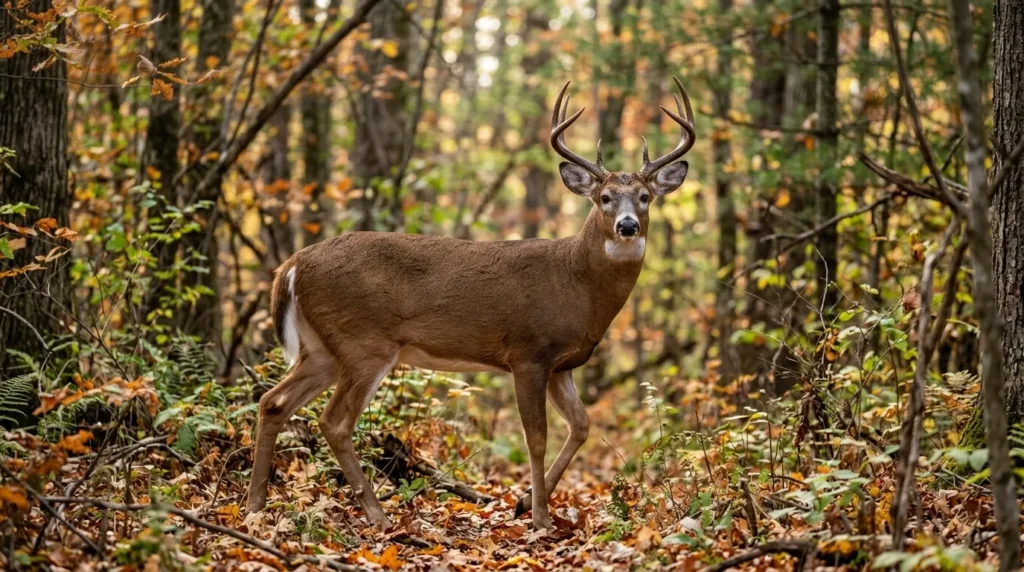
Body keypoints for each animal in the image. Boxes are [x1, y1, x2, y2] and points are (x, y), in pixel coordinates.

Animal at [246, 78, 696, 531]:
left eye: (644, 196)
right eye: (604, 197)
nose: (628, 225)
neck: (577, 283)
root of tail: (292, 265)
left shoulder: (562, 365)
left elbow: (581, 426)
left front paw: (524, 503)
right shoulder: (528, 353)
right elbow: (536, 438)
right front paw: (540, 519)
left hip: (321, 347)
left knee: (273, 402)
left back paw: (254, 507)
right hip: (363, 343)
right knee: (334, 421)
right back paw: (377, 515)